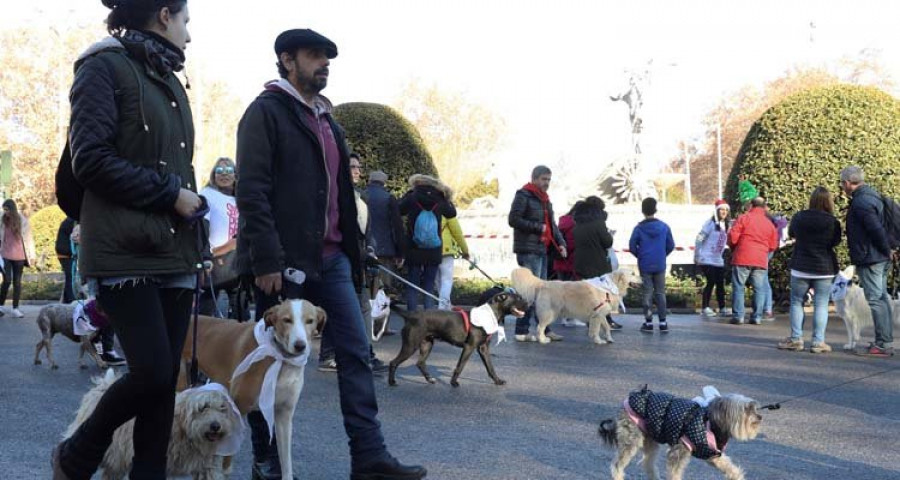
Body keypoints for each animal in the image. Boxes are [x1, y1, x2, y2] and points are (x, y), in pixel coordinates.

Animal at [180, 300, 326, 480]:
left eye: (310, 321)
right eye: (286, 320)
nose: (300, 346)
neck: (279, 358)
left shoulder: (283, 414)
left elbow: (286, 462)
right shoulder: (236, 410)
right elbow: (227, 462)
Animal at [512, 268, 640, 344]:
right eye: (633, 274)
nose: (642, 278)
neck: (611, 286)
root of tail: (543, 282)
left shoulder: (601, 314)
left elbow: (607, 326)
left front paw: (609, 338)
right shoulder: (597, 315)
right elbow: (596, 329)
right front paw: (598, 340)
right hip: (550, 313)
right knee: (540, 328)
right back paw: (543, 340)